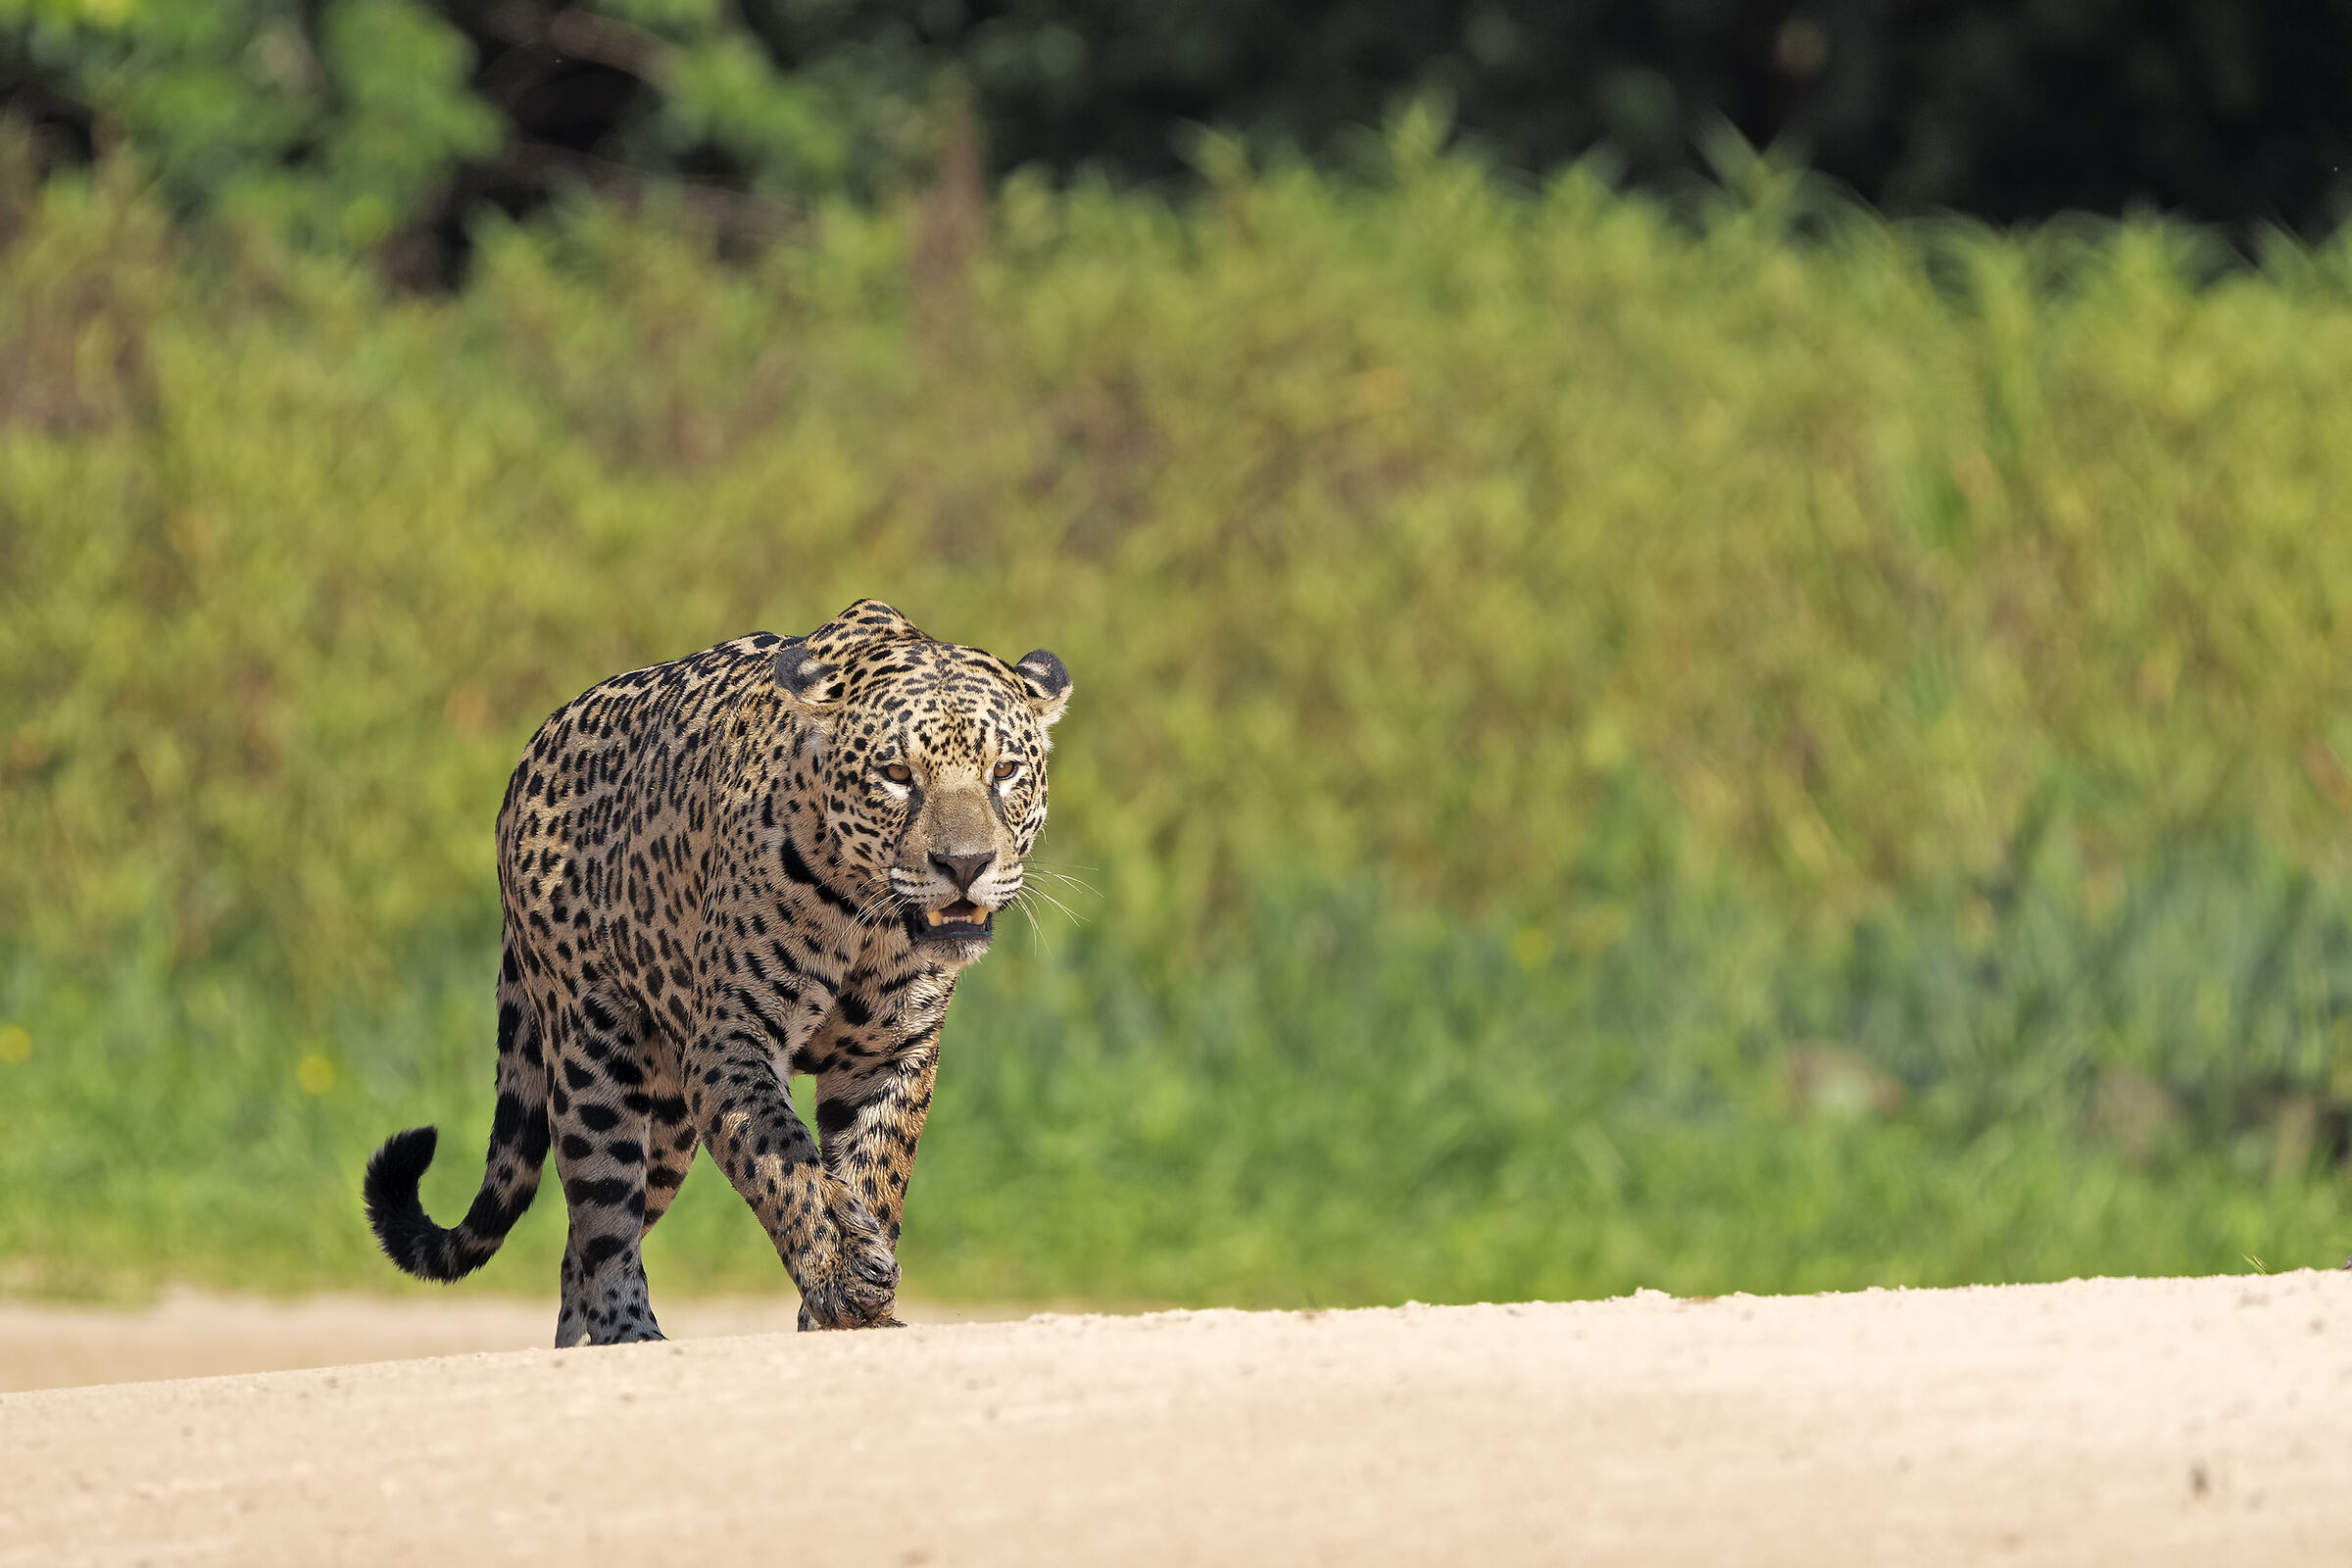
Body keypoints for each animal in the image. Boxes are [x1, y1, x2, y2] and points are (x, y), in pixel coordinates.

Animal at [362, 598, 1072, 1342]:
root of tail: (528, 760)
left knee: (577, 1252)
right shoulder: (731, 1046)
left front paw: (858, 1299)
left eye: (1005, 772)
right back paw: (630, 1336)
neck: (867, 921)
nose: (965, 864)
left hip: (669, 1117)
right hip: (593, 1059)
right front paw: (841, 1272)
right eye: (898, 776)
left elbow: (874, 1170)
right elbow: (786, 1165)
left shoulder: (890, 1054)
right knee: (601, 1225)